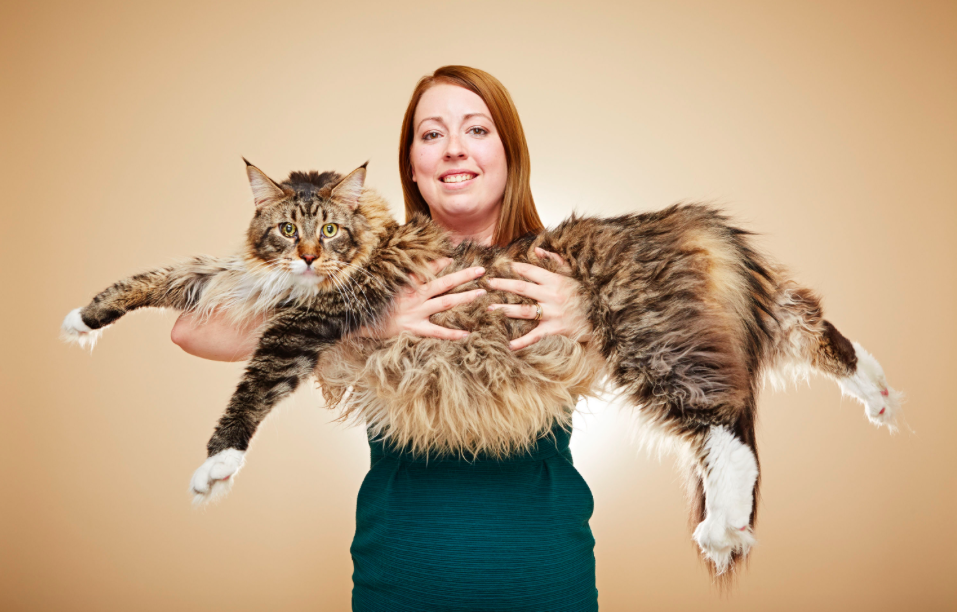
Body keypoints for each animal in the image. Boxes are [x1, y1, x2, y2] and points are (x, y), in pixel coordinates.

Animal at [63, 160, 900, 576]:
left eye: (328, 230)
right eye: (286, 228)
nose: (304, 256)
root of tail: (679, 221)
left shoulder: (305, 325)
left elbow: (247, 394)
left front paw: (215, 469)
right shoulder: (230, 284)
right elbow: (156, 277)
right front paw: (82, 317)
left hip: (652, 344)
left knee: (730, 435)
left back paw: (723, 527)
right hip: (736, 317)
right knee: (817, 328)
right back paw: (882, 395)